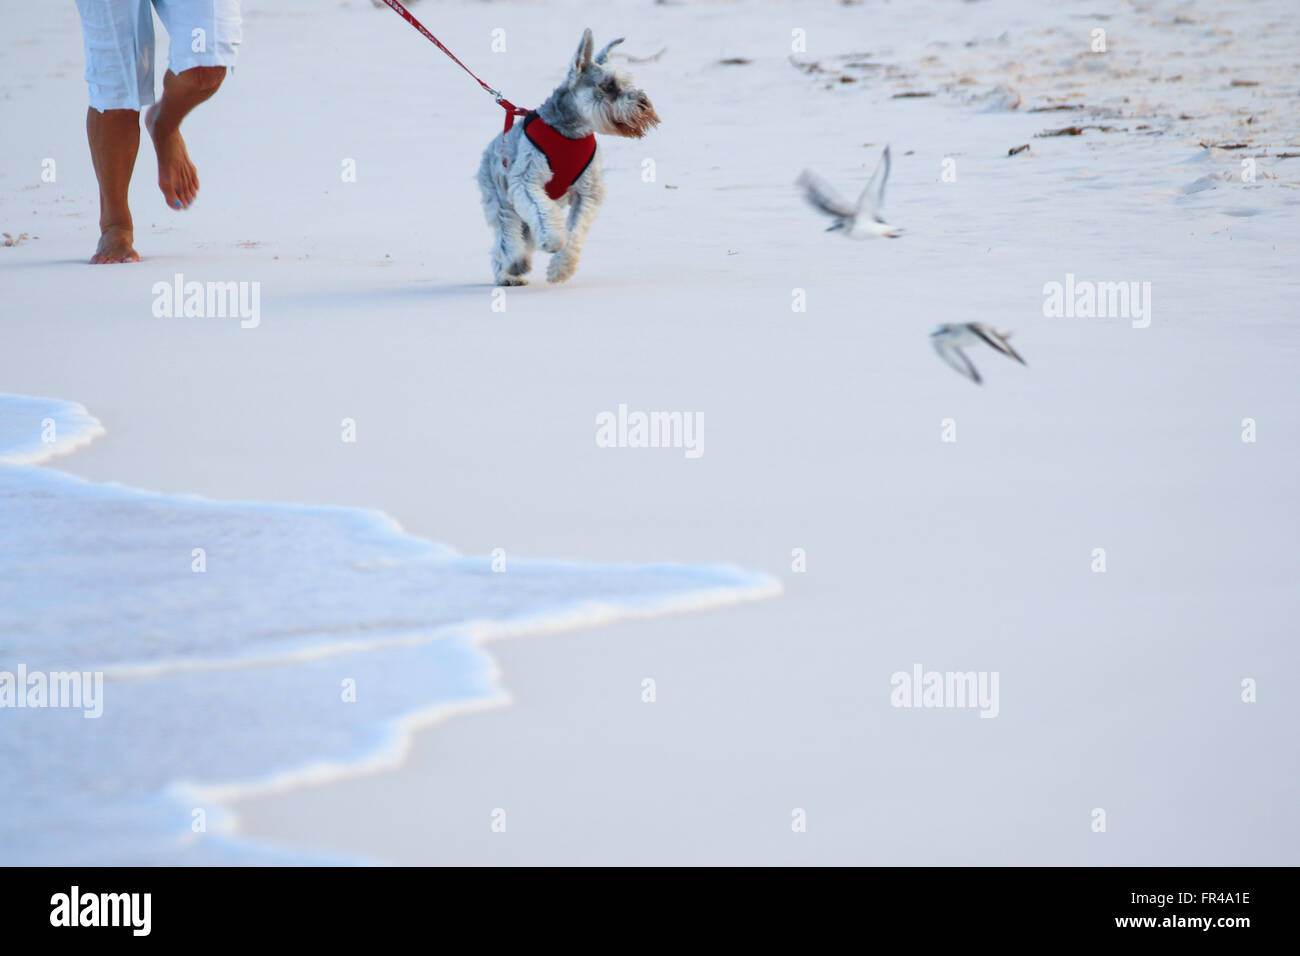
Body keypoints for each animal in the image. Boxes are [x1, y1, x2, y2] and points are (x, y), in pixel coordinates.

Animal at [478, 28, 660, 283]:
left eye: (627, 82)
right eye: (608, 85)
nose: (644, 103)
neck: (571, 133)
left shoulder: (588, 193)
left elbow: (575, 232)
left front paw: (562, 268)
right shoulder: (527, 182)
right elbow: (543, 214)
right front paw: (553, 241)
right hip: (501, 200)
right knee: (507, 237)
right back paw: (511, 268)